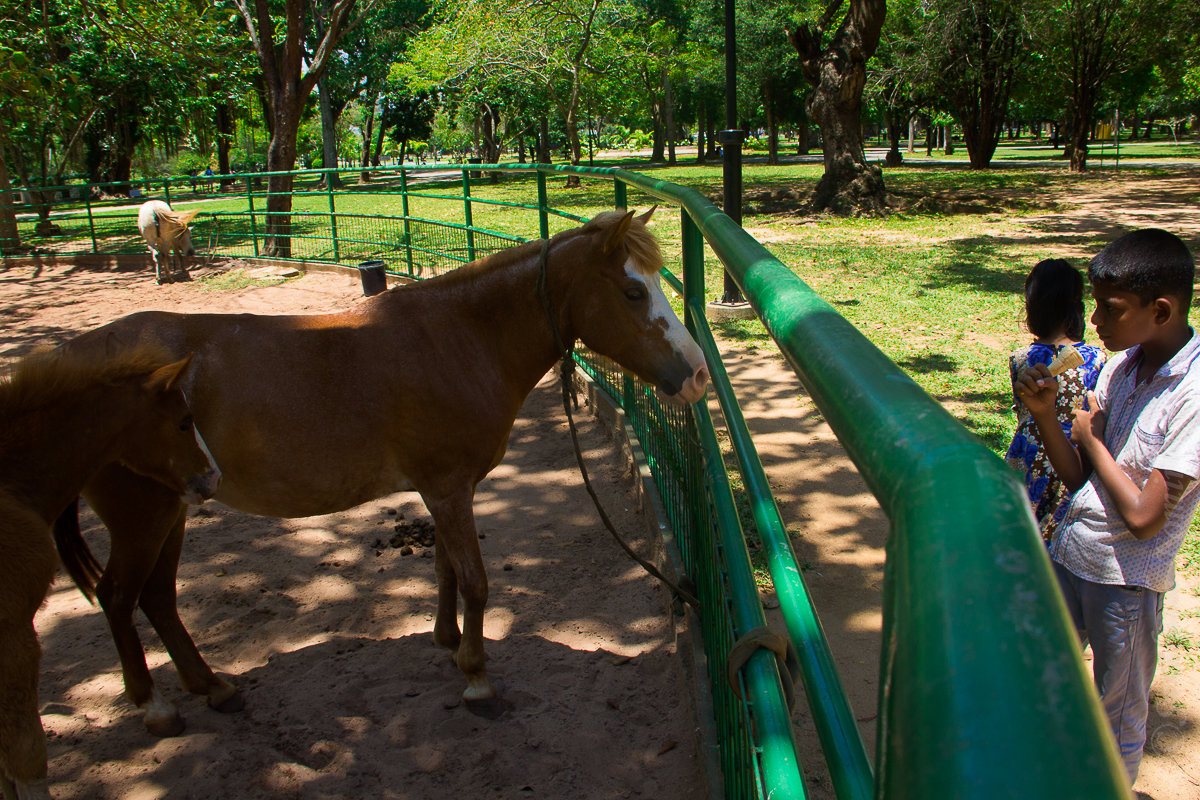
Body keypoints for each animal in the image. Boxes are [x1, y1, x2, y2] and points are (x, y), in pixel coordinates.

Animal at [0, 345, 220, 800]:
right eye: (185, 420)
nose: (214, 478)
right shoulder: (14, 637)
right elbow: (25, 754)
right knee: (120, 595)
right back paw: (161, 705)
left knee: (146, 596)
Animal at [56, 208, 705, 738]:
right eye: (632, 291)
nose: (698, 375)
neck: (459, 338)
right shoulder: (447, 489)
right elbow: (474, 580)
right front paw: (478, 680)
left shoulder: (445, 490)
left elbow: (445, 568)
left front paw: (449, 644)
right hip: (143, 517)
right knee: (119, 598)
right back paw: (155, 707)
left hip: (171, 510)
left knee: (158, 599)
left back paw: (214, 688)